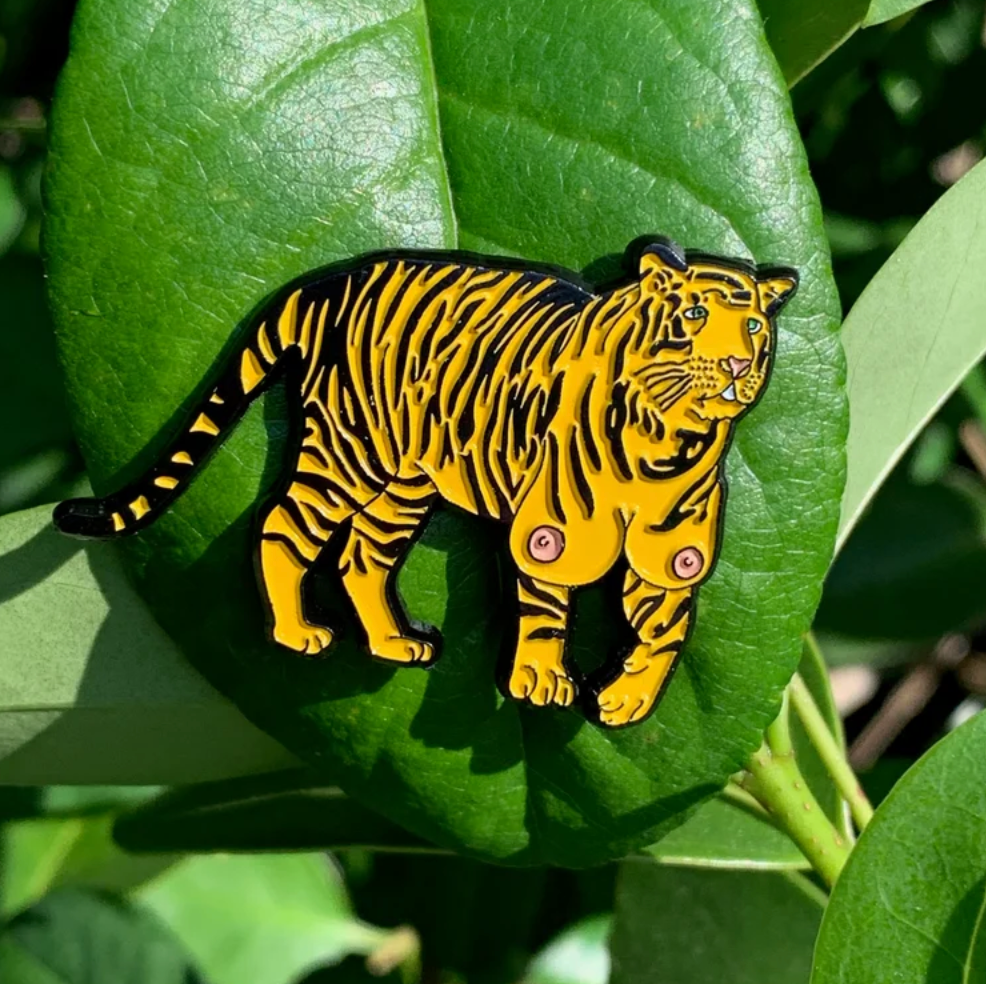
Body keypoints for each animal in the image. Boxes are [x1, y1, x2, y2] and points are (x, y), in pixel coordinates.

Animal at [54, 237, 797, 728]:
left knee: (361, 557)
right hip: (348, 453)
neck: (667, 440)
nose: (739, 365)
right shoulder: (546, 528)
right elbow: (544, 610)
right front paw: (538, 682)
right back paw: (296, 632)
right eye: (694, 317)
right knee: (283, 524)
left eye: (753, 327)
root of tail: (330, 283)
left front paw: (627, 701)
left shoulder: (674, 543)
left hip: (404, 484)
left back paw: (396, 642)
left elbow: (662, 629)